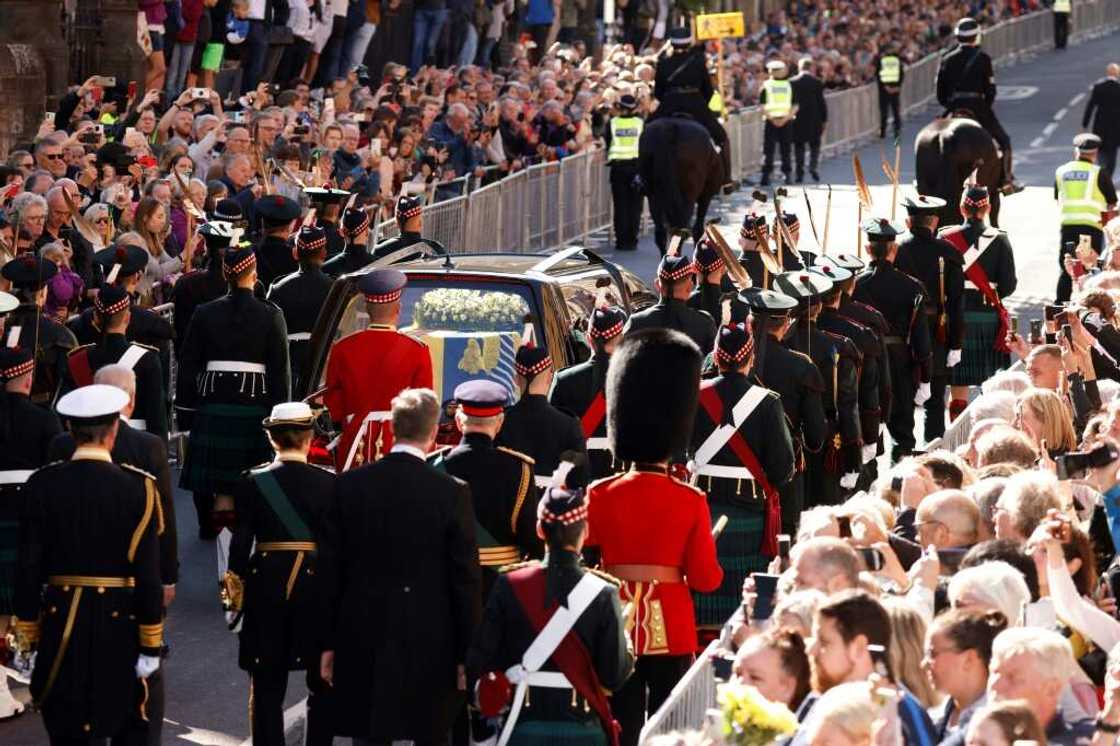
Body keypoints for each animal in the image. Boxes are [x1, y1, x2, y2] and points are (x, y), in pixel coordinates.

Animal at [640, 115, 725, 253]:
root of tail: (669, 127)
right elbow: (697, 229)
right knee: (681, 230)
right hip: (688, 197)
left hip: (654, 197)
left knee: (662, 232)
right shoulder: (705, 197)